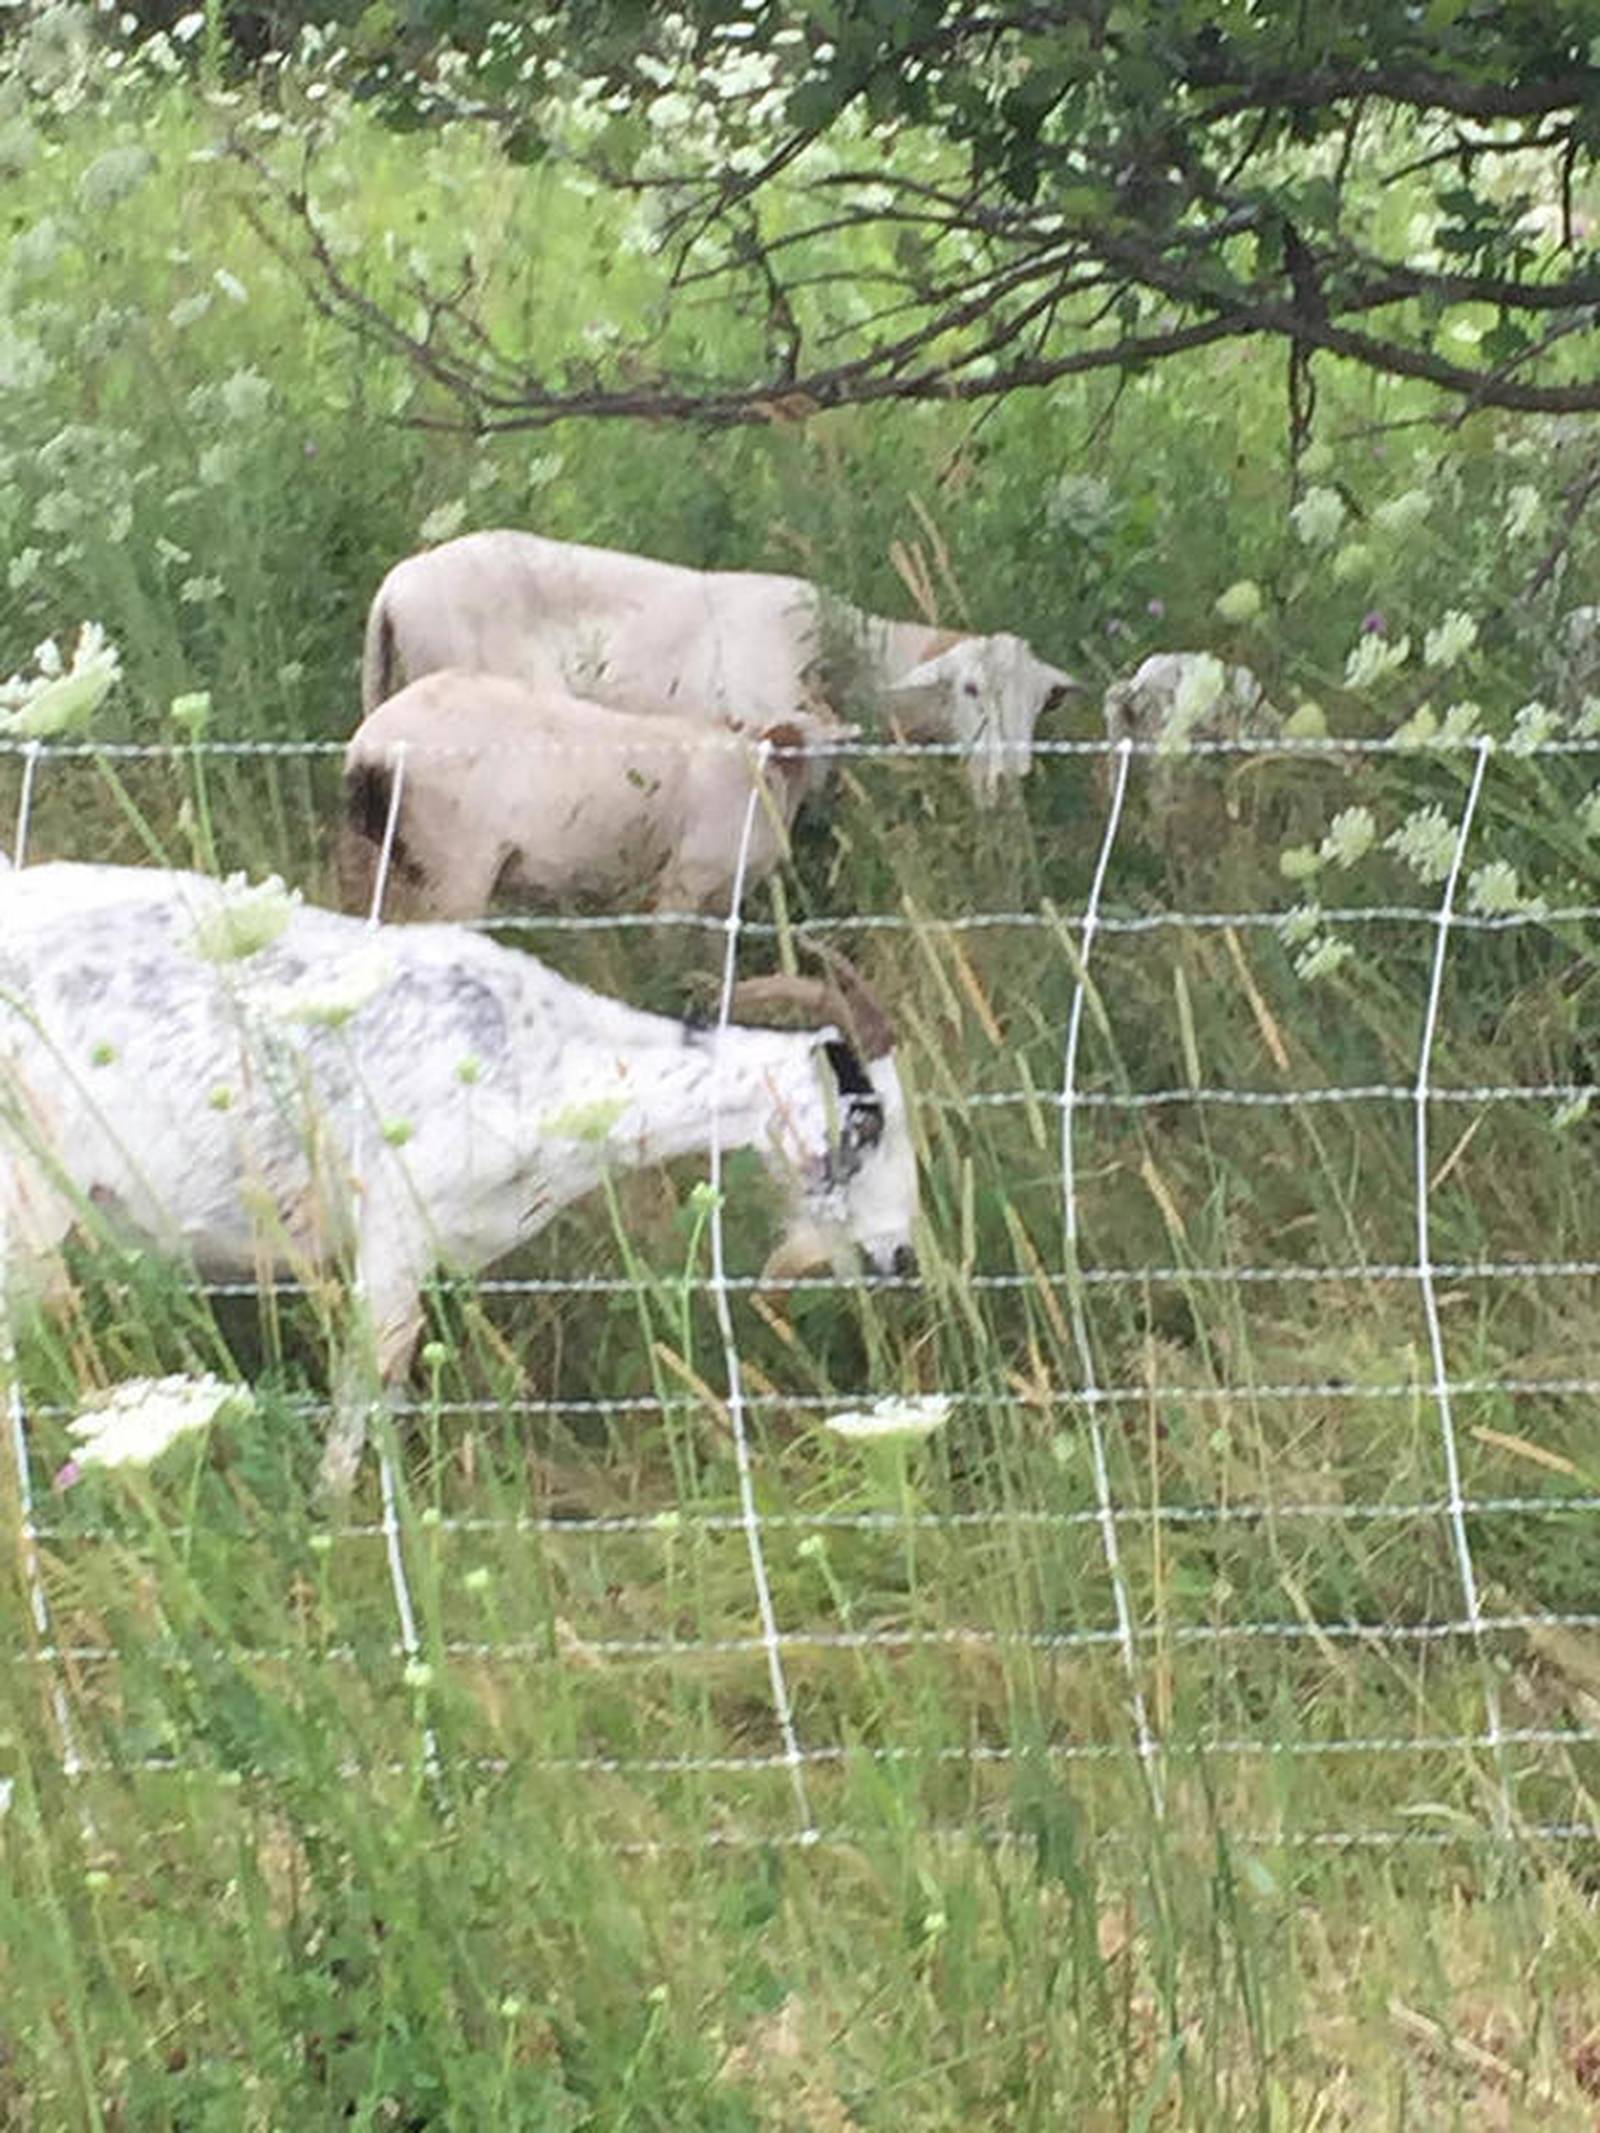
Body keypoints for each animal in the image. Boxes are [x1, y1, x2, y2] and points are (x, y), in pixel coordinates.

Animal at [0, 861, 919, 1490]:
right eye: (869, 1120)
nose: (901, 1256)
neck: (543, 1058)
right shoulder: (393, 1228)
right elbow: (370, 1373)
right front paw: (341, 1507)